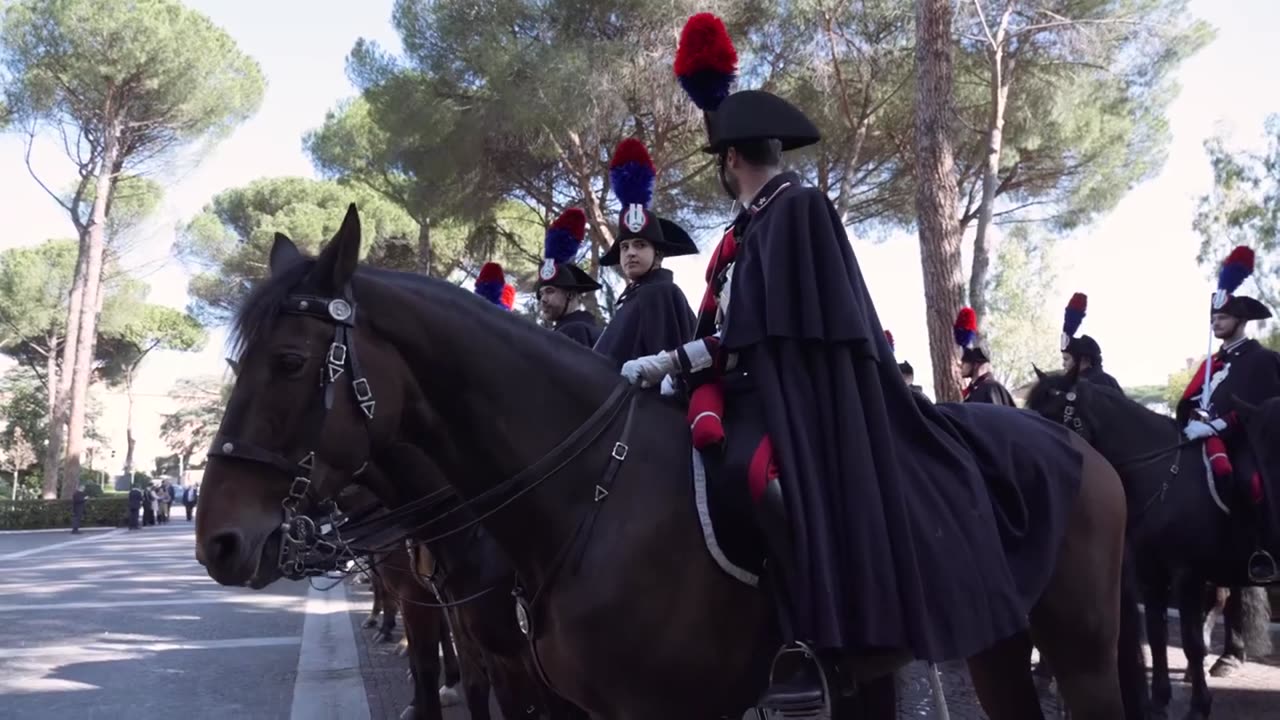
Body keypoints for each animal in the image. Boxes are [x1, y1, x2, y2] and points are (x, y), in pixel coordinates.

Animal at [197, 207, 1141, 717]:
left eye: (288, 361)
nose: (219, 542)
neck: (590, 495)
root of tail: (1083, 456)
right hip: (992, 645)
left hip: (1082, 652)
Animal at [1029, 368, 1269, 717]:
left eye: (1052, 416)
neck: (1163, 476)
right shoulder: (1151, 573)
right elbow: (1156, 637)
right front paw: (1159, 700)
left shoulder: (1185, 574)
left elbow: (1189, 642)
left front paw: (1199, 705)